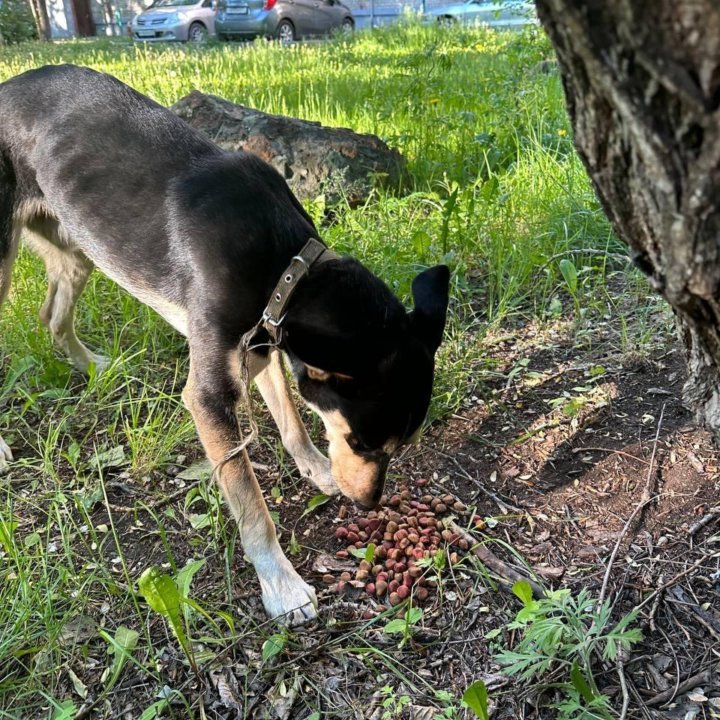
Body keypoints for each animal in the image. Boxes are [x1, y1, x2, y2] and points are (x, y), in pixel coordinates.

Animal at [0, 63, 450, 624]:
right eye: (364, 444)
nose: (368, 505)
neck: (289, 268)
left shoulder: (262, 344)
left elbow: (291, 419)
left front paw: (314, 468)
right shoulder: (210, 395)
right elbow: (252, 507)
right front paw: (281, 585)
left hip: (79, 245)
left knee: (52, 316)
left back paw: (95, 366)